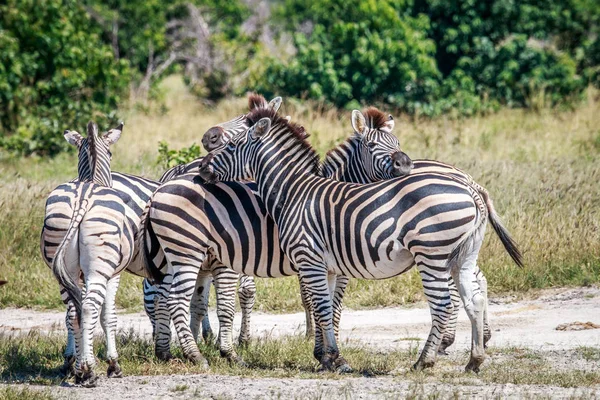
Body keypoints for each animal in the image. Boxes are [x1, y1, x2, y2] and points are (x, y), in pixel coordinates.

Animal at [45, 122, 134, 388]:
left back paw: (80, 370)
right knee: (88, 308)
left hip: (63, 264)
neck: (92, 177)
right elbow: (108, 316)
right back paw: (89, 371)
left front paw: (72, 360)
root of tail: (82, 197)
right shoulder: (113, 275)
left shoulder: (78, 275)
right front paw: (113, 364)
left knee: (74, 311)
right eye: (112, 154)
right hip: (99, 267)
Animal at [199, 109, 524, 372]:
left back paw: (424, 360)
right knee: (474, 298)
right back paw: (474, 360)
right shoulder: (328, 266)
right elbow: (325, 307)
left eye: (231, 145)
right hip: (463, 254)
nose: (202, 167)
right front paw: (325, 356)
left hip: (433, 254)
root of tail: (470, 186)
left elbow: (324, 307)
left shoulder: (310, 259)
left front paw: (333, 358)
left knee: (444, 304)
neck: (294, 191)